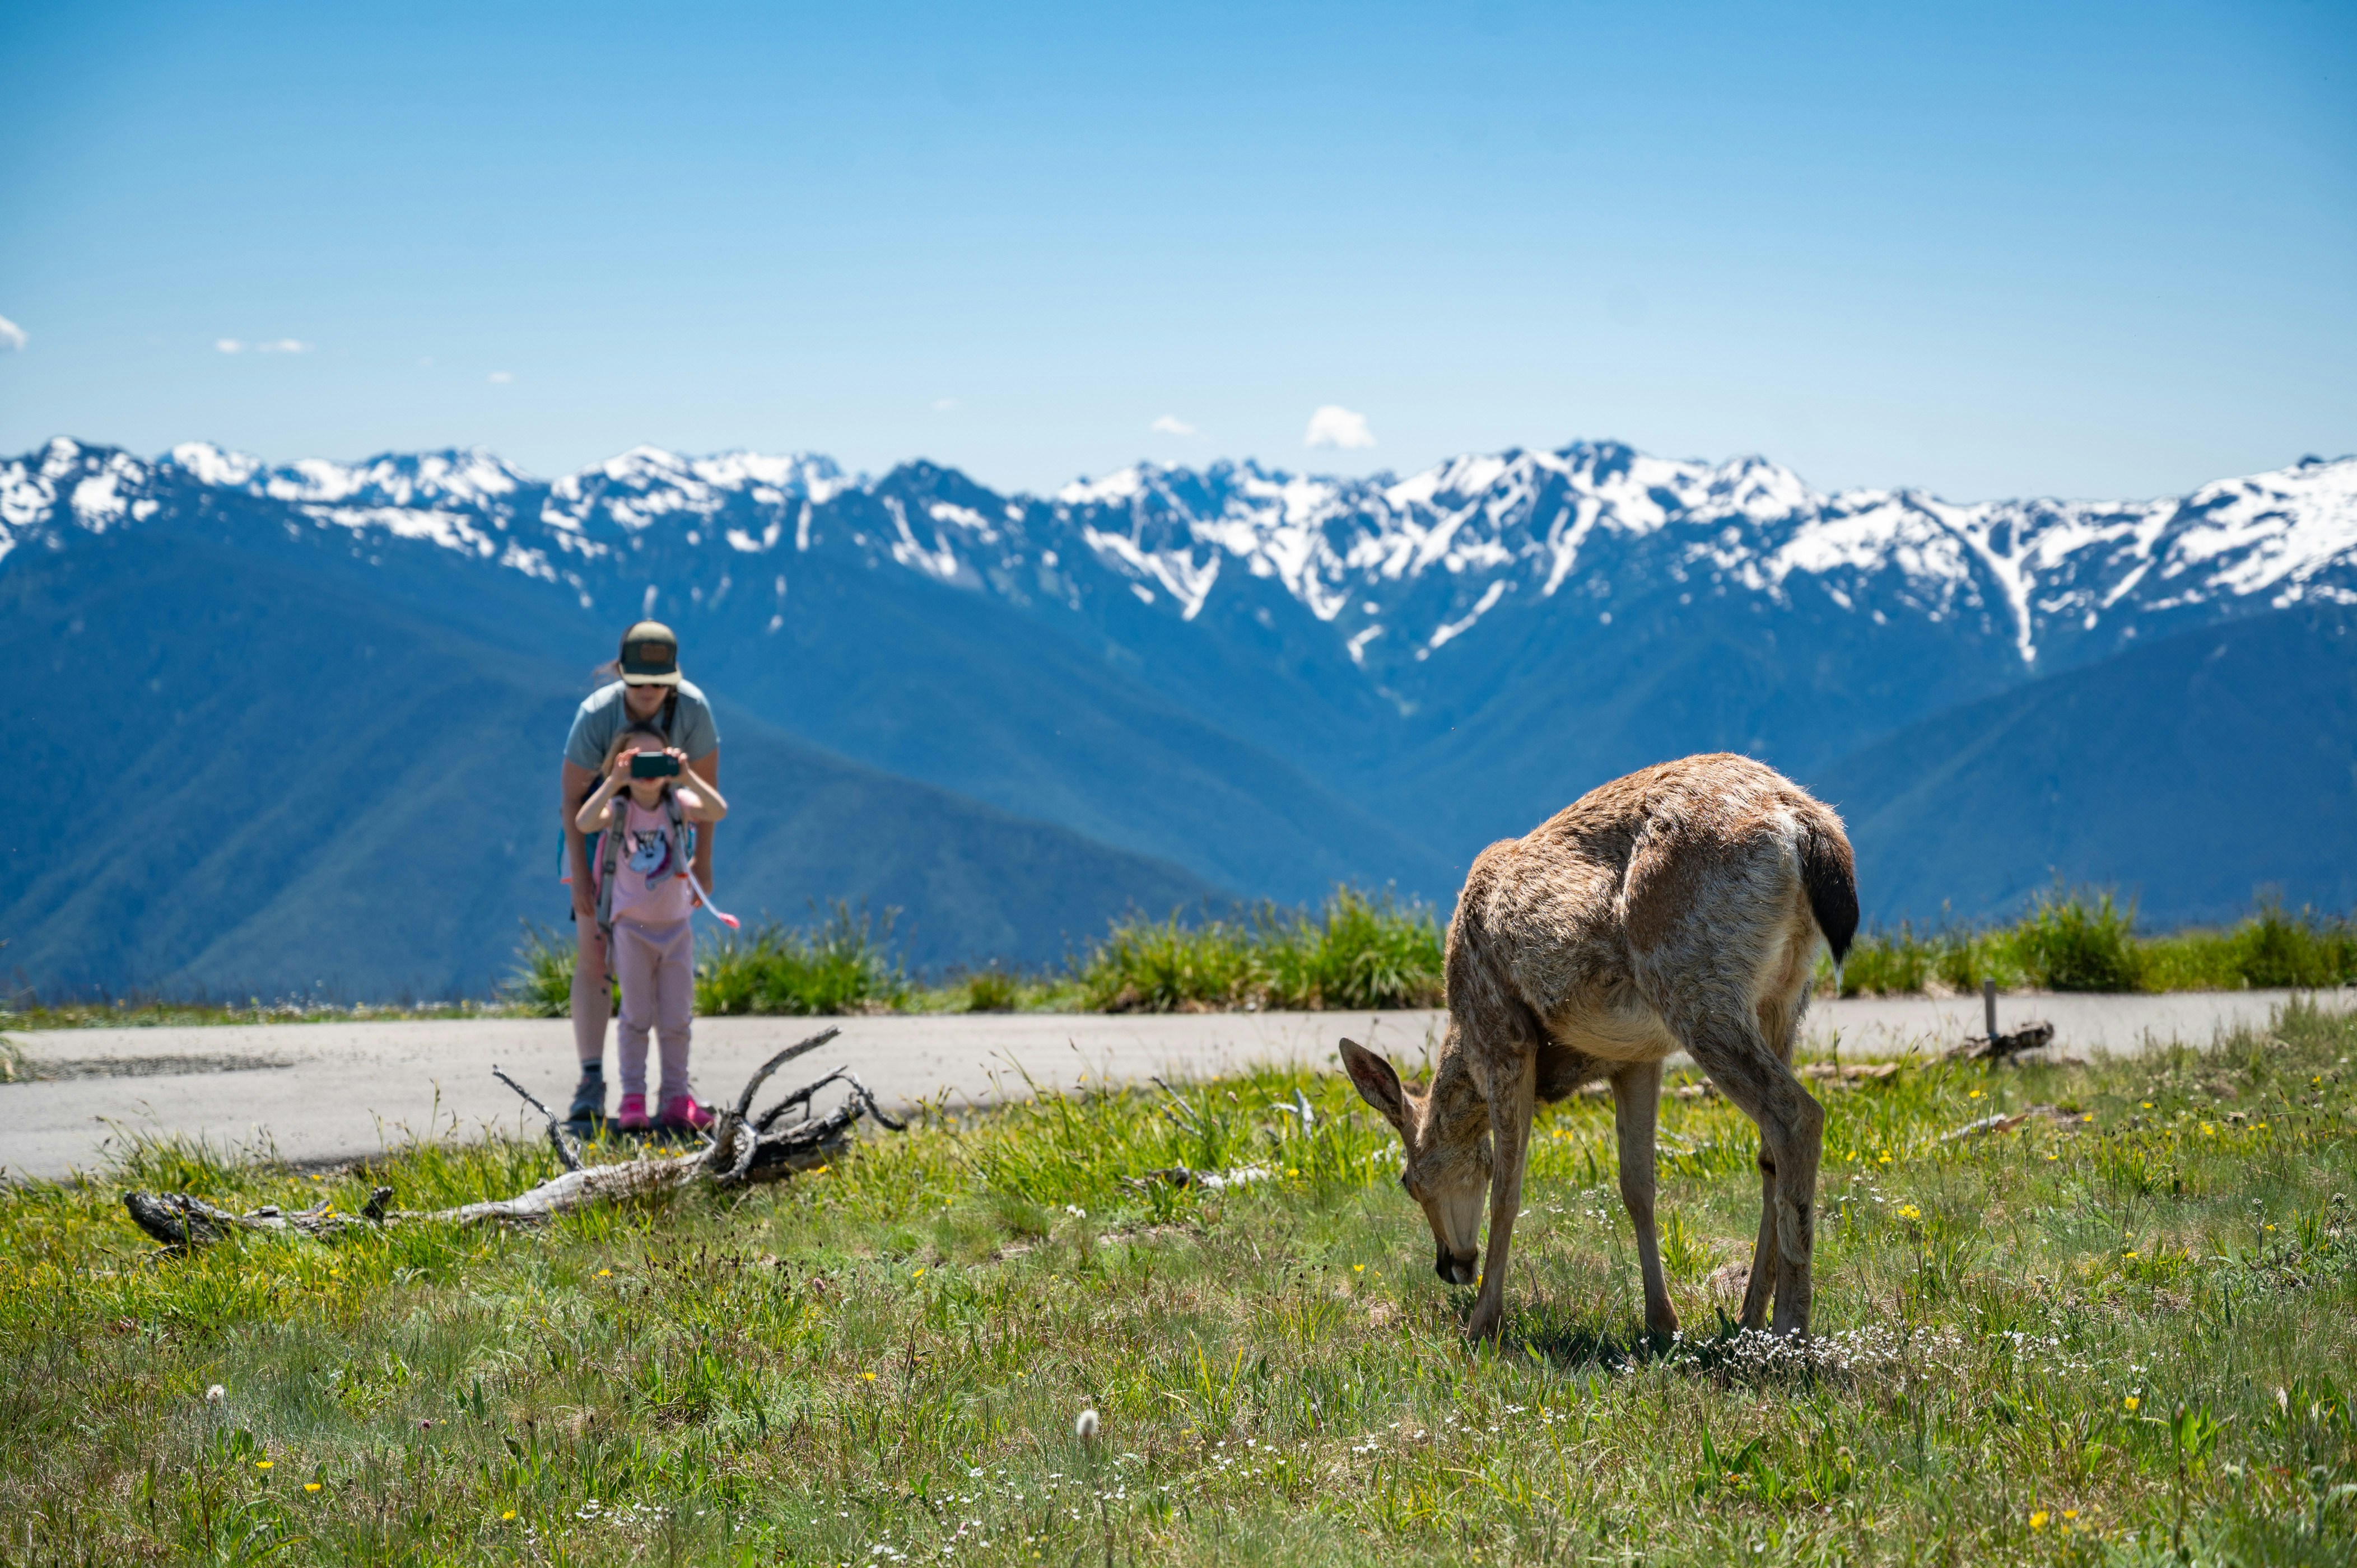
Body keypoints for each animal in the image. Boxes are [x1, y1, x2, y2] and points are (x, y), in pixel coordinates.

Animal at [1341, 753, 1857, 1342]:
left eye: (1407, 1181)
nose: (1450, 1265)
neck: (1462, 1038)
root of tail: (1804, 824)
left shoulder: (1503, 1034)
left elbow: (1508, 1190)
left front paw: (1483, 1324)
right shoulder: (1637, 1059)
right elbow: (1637, 1187)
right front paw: (1662, 1322)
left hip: (1693, 979)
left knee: (1797, 1116)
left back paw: (1790, 1328)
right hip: (1784, 996)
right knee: (1769, 1150)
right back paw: (1749, 1319)